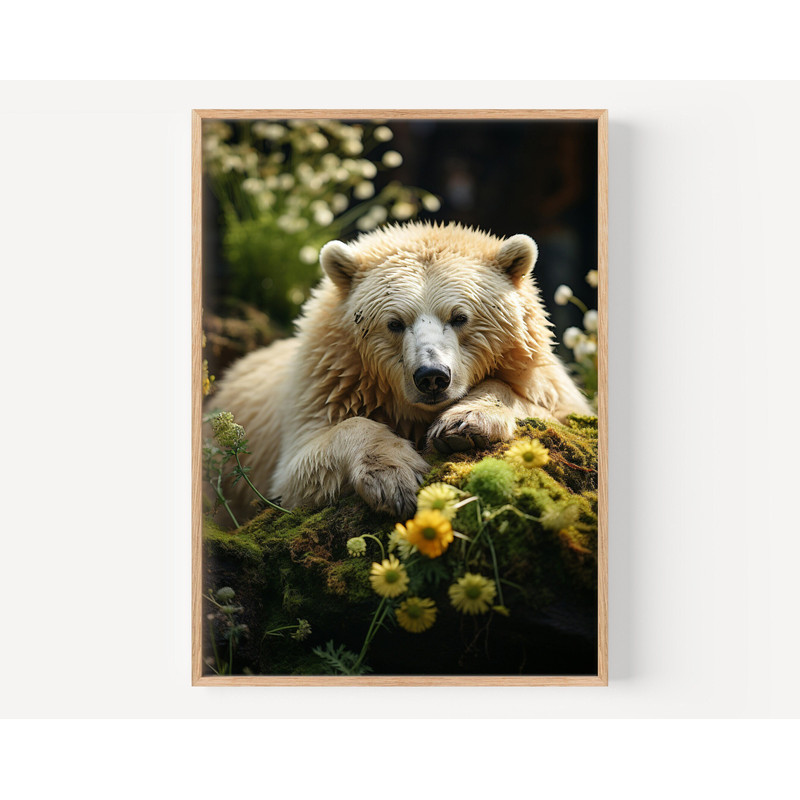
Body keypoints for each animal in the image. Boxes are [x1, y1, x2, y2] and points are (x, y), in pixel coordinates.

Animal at [208, 221, 592, 521]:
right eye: (394, 323)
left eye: (459, 317)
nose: (432, 376)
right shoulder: (327, 386)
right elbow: (299, 471)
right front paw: (395, 476)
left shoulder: (550, 387)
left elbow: (556, 411)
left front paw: (464, 423)